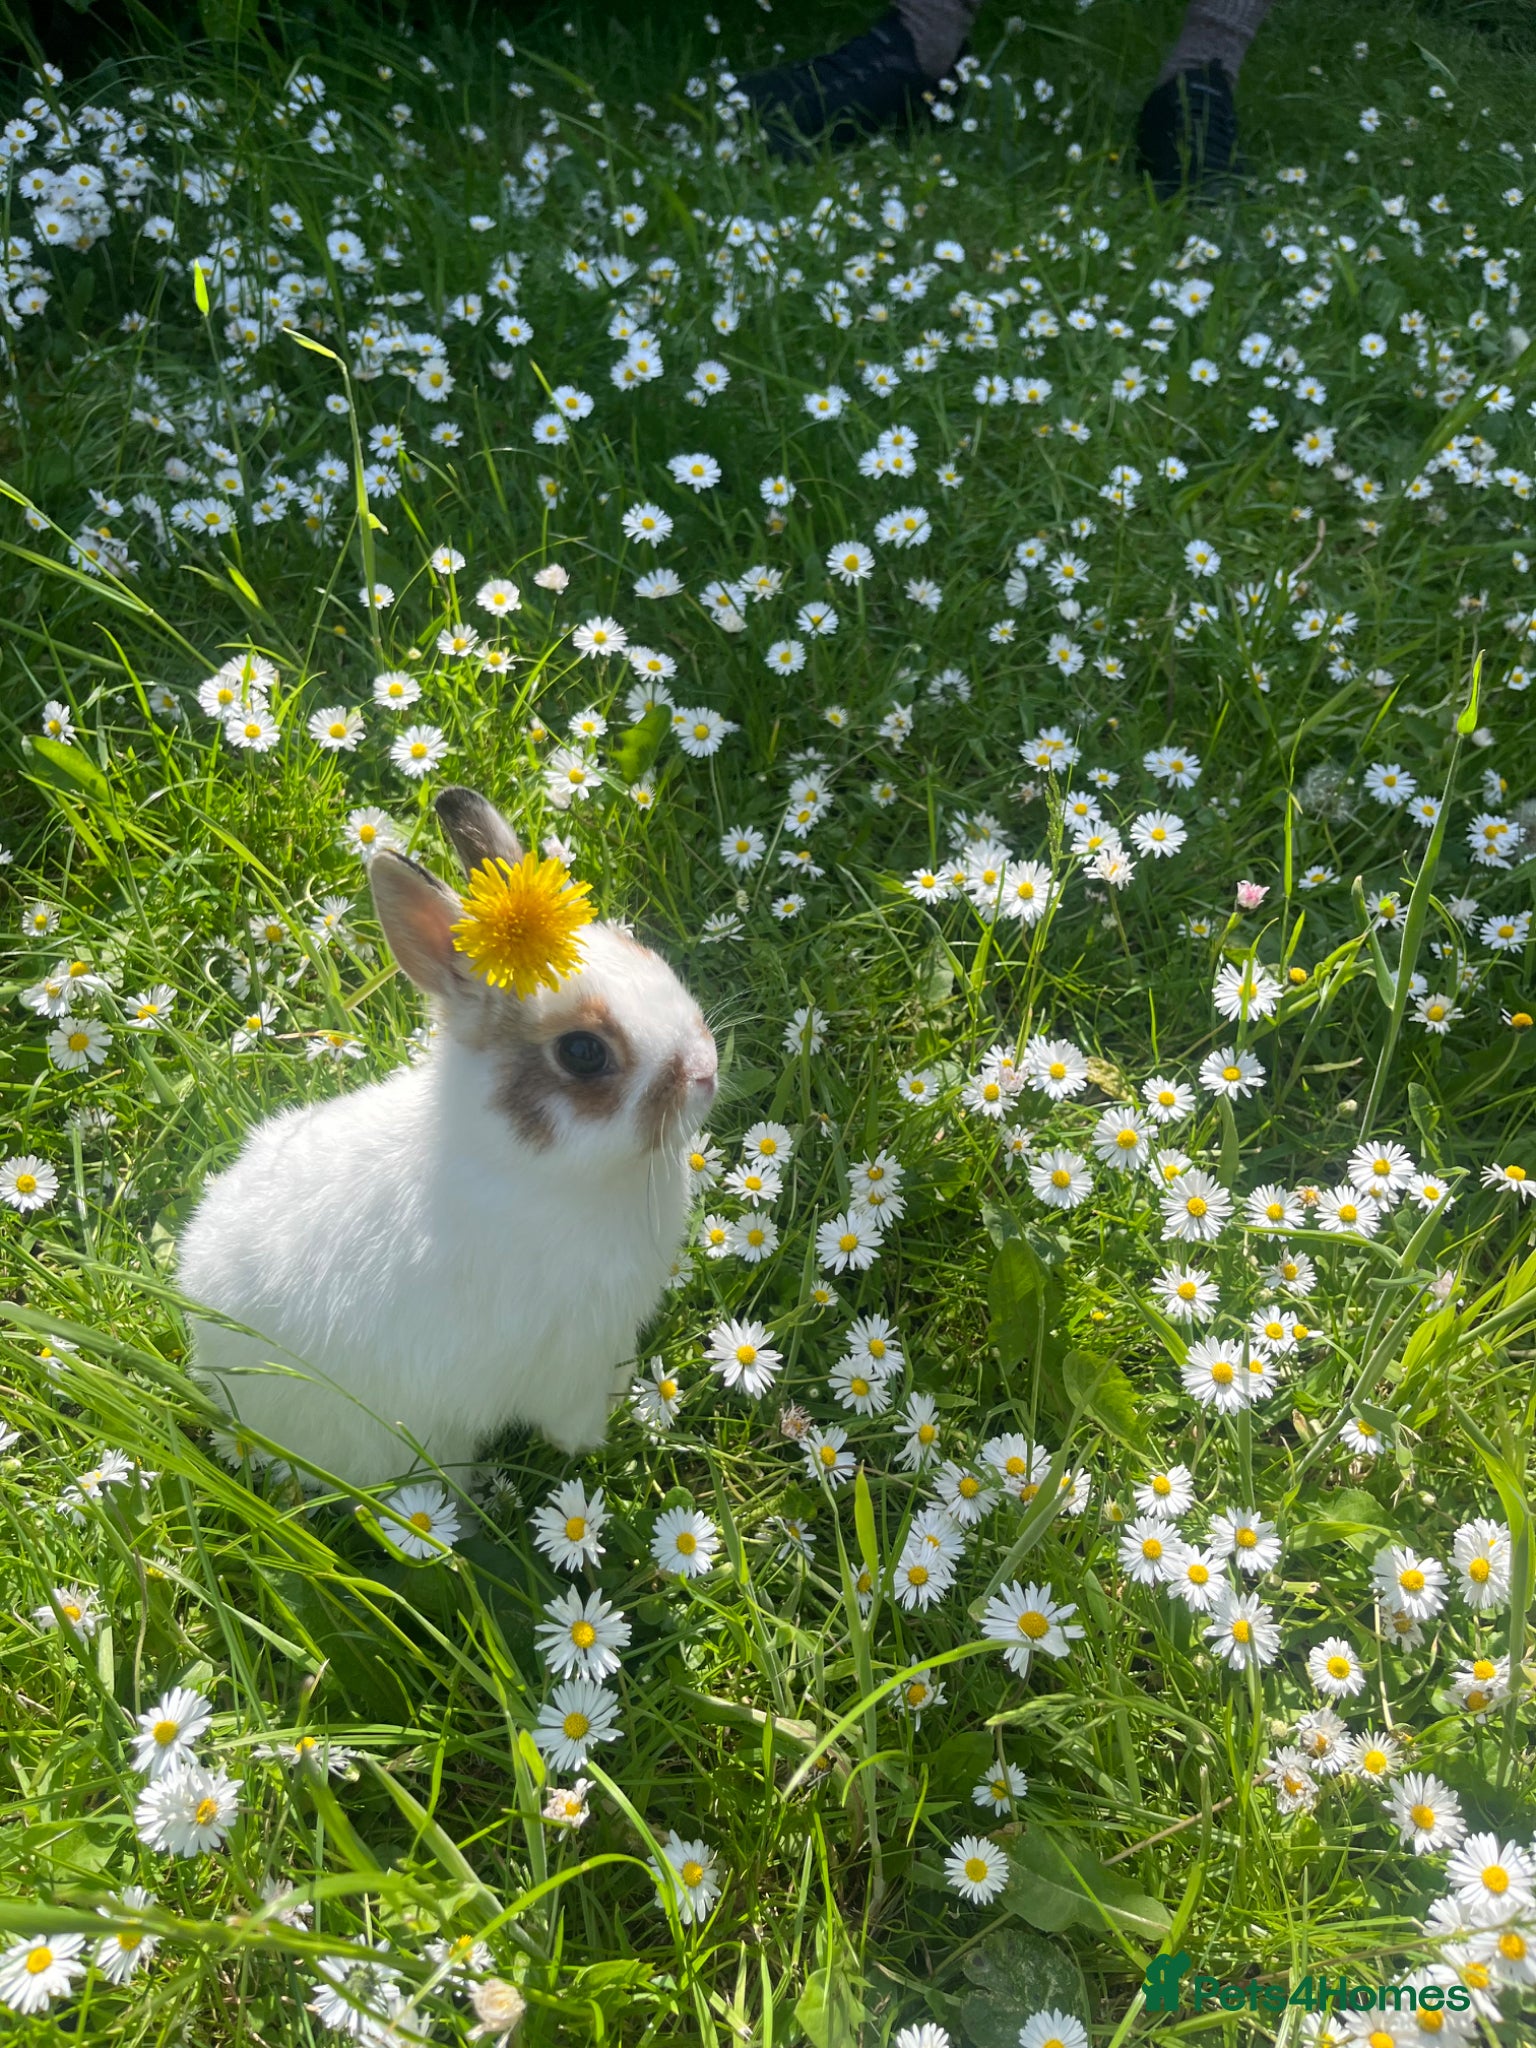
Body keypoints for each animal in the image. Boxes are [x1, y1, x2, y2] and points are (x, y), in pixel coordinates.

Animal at [178, 787, 717, 1488]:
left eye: (639, 950)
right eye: (582, 1052)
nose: (705, 1071)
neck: (533, 1167)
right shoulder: (568, 1359)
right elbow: (573, 1420)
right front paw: (602, 1441)